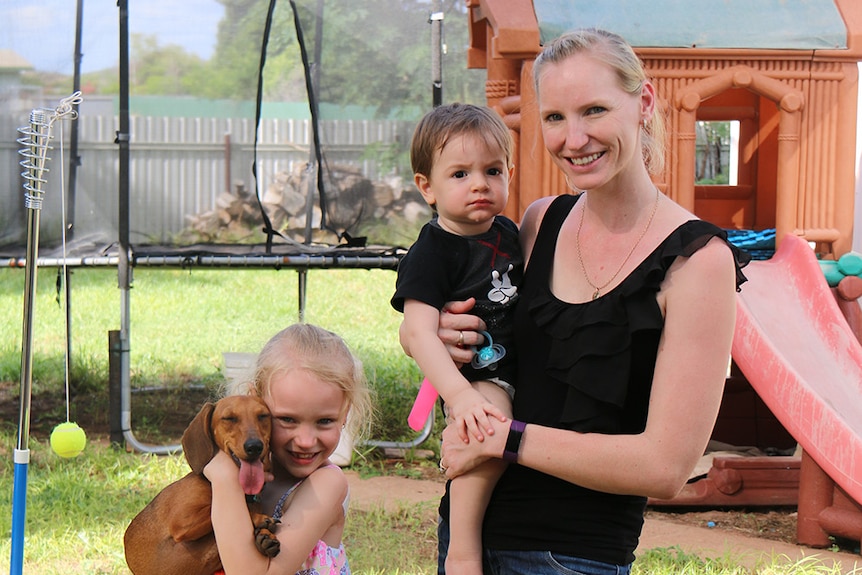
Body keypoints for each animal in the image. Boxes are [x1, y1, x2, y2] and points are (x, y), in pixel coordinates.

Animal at [125, 396, 278, 575]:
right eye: (229, 418)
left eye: (263, 416)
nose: (254, 446)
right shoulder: (182, 522)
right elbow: (215, 513)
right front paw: (259, 519)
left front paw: (265, 536)